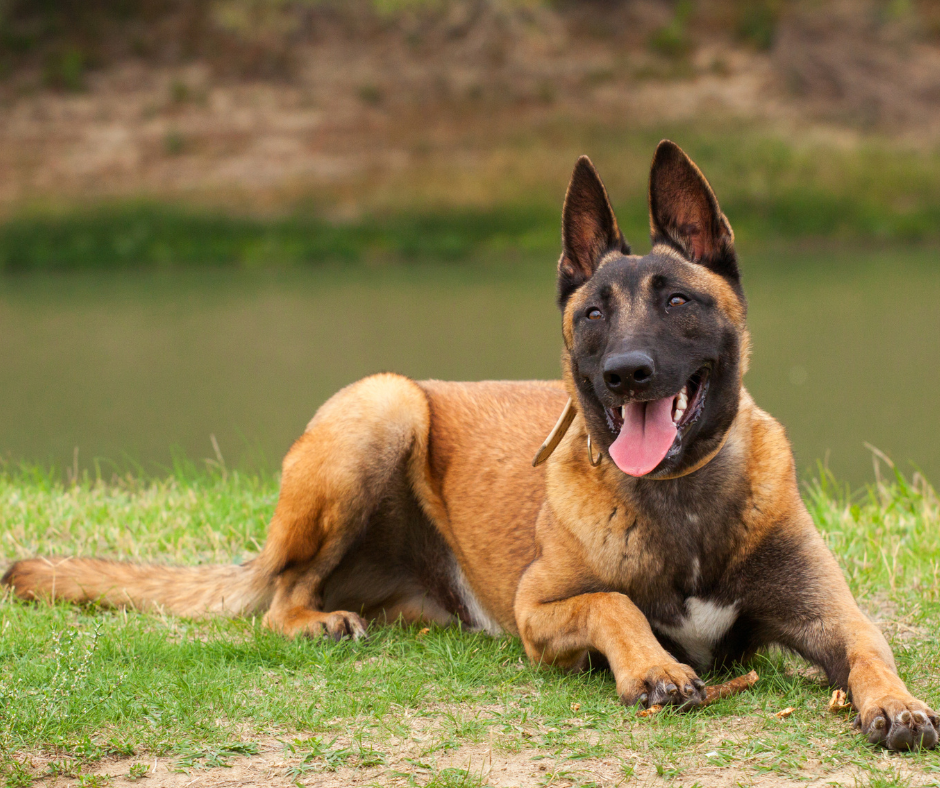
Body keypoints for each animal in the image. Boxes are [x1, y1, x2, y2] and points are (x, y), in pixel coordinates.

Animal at [3, 142, 936, 752]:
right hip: (381, 405)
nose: (627, 374)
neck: (683, 503)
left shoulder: (829, 613)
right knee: (279, 597)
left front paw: (896, 702)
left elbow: (869, 645)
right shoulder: (540, 611)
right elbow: (616, 603)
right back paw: (316, 620)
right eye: (594, 314)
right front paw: (654, 668)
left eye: (677, 300)